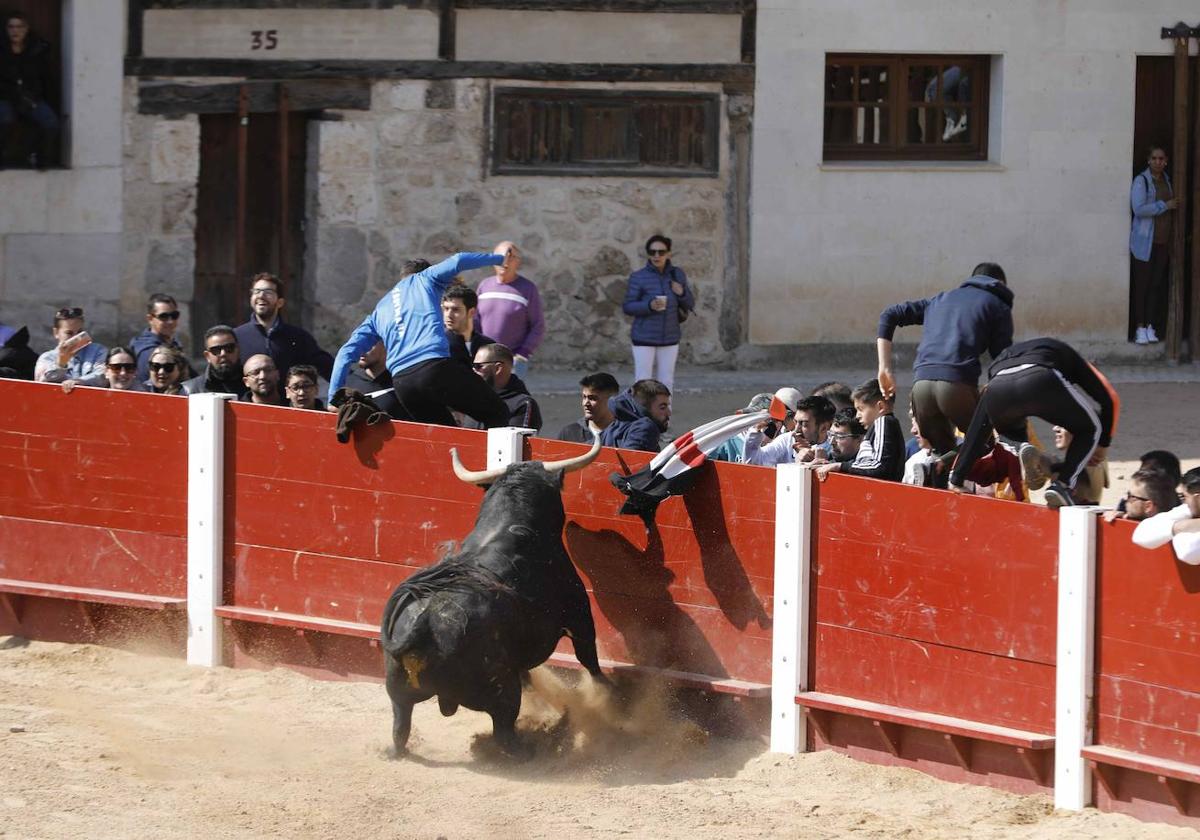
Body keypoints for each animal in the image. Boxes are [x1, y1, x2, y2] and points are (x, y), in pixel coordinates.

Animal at [384, 436, 604, 758]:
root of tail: (425, 622)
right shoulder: (580, 614)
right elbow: (590, 661)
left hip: (398, 693)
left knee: (400, 728)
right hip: (502, 690)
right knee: (504, 731)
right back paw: (538, 745)